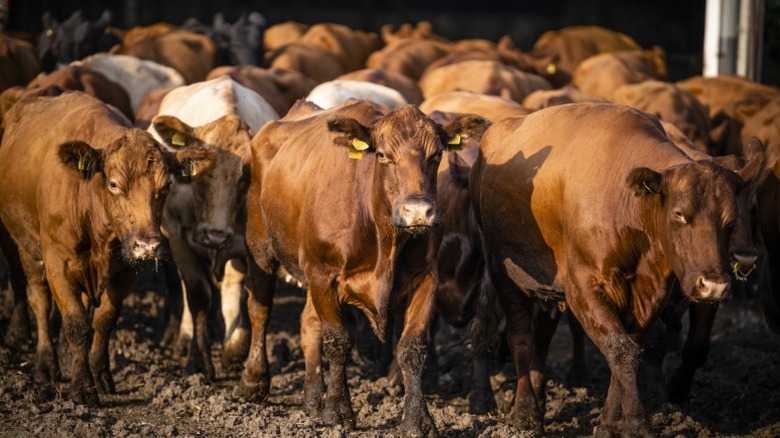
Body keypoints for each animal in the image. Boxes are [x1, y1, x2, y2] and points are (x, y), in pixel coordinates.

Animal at [0, 91, 215, 405]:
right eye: (114, 184)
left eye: (166, 186)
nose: (147, 245)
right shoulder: (57, 263)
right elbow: (76, 323)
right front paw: (82, 387)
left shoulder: (126, 270)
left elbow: (103, 321)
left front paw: (100, 376)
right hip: (26, 247)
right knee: (38, 300)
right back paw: (46, 365)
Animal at [148, 76, 279, 378]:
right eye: (198, 169)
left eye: (245, 176)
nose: (215, 236)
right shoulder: (178, 237)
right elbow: (197, 296)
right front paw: (198, 360)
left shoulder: (247, 246)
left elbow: (244, 294)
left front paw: (235, 348)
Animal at [237, 99, 483, 436]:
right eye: (382, 155)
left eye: (436, 156)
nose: (418, 211)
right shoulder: (322, 275)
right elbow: (338, 340)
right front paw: (338, 411)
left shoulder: (425, 279)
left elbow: (412, 348)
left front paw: (417, 420)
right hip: (260, 247)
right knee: (260, 310)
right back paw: (255, 381)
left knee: (308, 324)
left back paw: (313, 398)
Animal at [469, 102, 765, 435]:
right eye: (679, 214)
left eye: (731, 219)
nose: (713, 284)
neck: (629, 206)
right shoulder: (583, 290)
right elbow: (619, 349)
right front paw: (638, 424)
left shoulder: (649, 295)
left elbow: (627, 351)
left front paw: (610, 423)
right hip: (504, 274)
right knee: (520, 337)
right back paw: (525, 413)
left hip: (547, 290)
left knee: (541, 339)